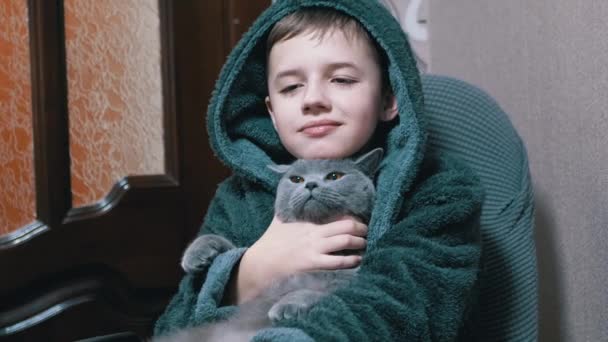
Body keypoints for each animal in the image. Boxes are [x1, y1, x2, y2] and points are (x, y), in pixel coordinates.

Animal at [153, 148, 380, 342]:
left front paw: (287, 305)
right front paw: (197, 255)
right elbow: (231, 247)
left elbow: (324, 289)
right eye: (297, 179)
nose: (310, 184)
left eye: (334, 176)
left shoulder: (351, 275)